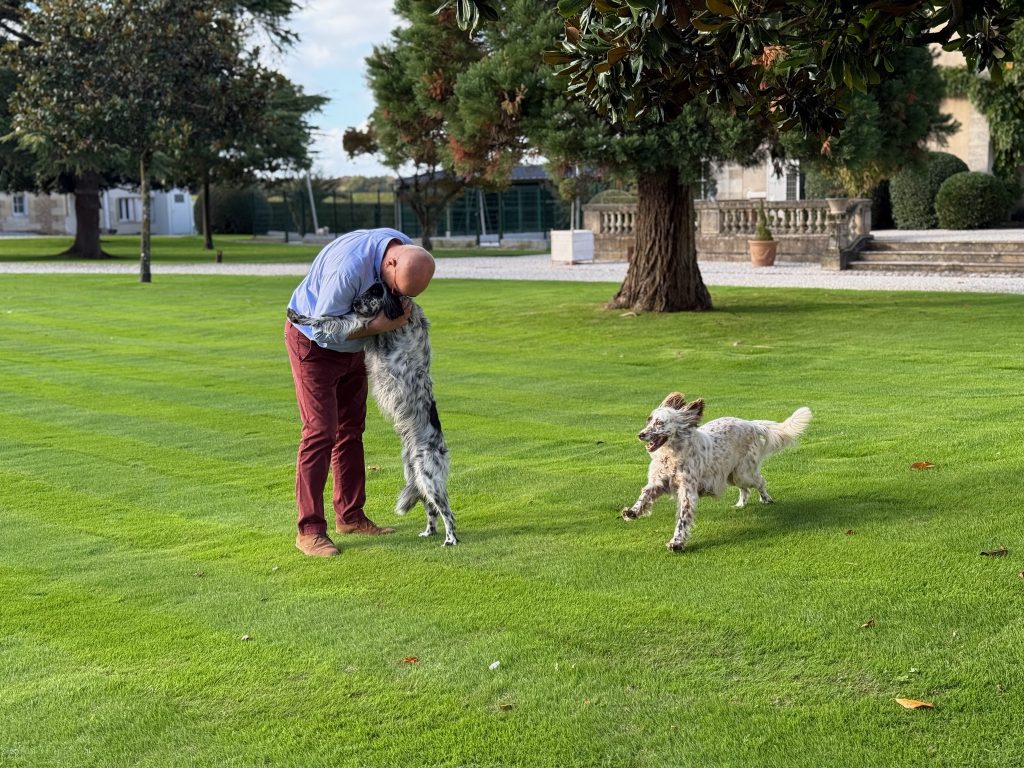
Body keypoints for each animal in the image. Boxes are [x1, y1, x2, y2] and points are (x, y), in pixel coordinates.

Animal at [284, 282, 452, 548]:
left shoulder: (363, 322)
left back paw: (450, 540)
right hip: (416, 477)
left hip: (429, 477)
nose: (354, 302)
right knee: (431, 509)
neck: (402, 306)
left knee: (447, 512)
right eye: (366, 290)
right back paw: (429, 533)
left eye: (375, 293)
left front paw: (300, 316)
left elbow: (328, 318)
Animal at [618, 393, 811, 548]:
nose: (641, 434)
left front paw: (677, 542)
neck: (671, 455)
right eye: (649, 420)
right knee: (745, 489)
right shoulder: (658, 482)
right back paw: (740, 504)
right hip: (732, 475)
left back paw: (766, 499)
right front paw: (632, 511)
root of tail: (752, 424)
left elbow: (682, 519)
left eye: (659, 423)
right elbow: (645, 495)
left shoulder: (687, 492)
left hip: (743, 473)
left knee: (760, 481)